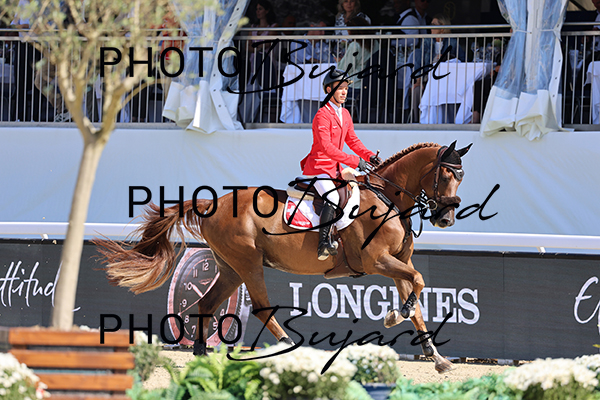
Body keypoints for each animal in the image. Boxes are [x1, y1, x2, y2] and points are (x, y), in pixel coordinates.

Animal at [95, 141, 471, 374]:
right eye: (446, 175)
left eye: (461, 176)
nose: (446, 219)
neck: (388, 199)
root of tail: (211, 203)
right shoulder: (376, 261)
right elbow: (417, 285)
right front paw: (395, 316)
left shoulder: (397, 264)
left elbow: (417, 299)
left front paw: (436, 358)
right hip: (248, 262)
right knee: (261, 307)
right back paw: (288, 345)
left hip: (230, 268)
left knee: (206, 303)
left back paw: (202, 353)